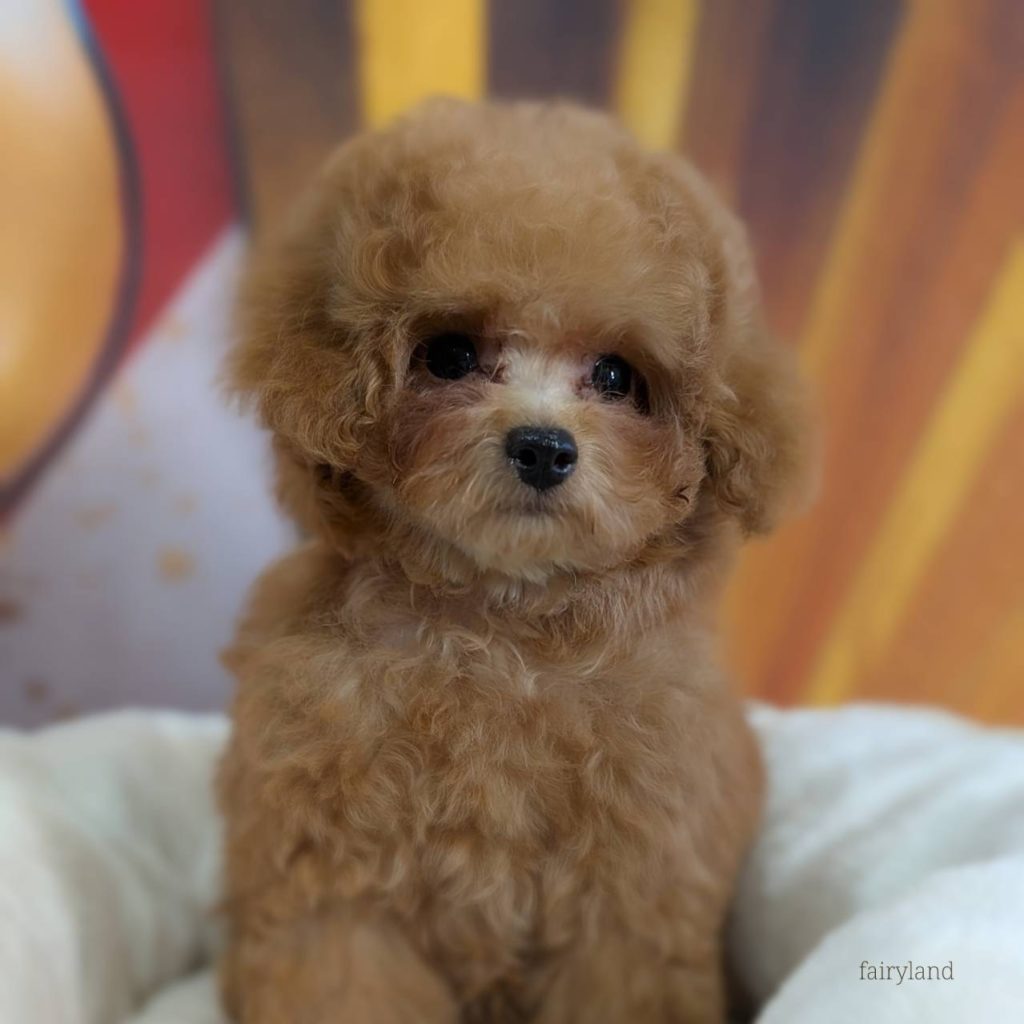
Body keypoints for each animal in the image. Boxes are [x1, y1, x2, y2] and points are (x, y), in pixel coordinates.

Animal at [218, 98, 808, 1023]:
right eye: (450, 354)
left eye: (617, 375)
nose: (542, 447)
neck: (502, 631)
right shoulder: (331, 882)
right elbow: (346, 974)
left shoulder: (633, 901)